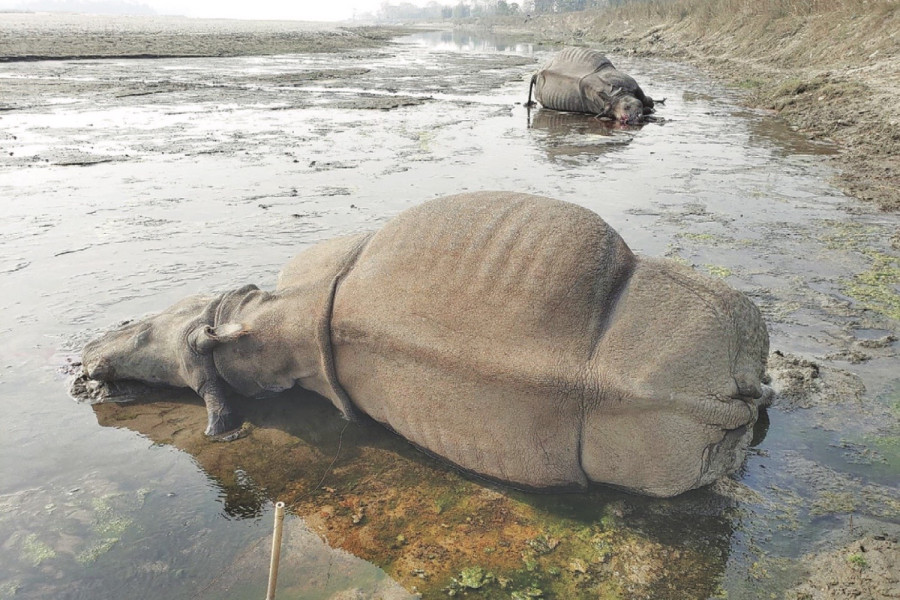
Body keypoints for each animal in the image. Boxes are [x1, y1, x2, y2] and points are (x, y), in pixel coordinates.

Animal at [527, 47, 656, 123]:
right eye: (626, 108)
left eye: (638, 105)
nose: (636, 117)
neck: (618, 95)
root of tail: (538, 72)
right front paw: (648, 109)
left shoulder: (632, 85)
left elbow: (648, 100)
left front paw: (648, 108)